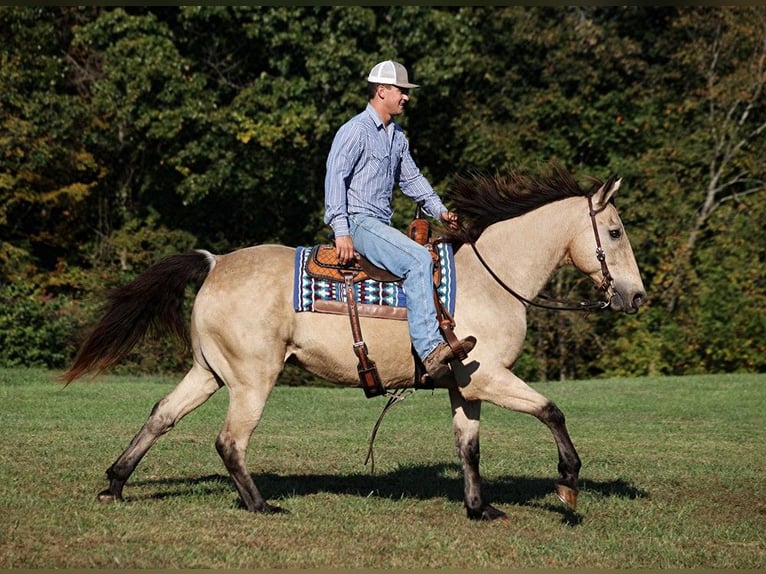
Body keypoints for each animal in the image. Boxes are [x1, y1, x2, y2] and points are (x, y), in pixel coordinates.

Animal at [63, 164, 648, 520]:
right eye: (615, 232)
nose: (637, 296)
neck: (491, 279)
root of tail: (216, 262)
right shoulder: (490, 377)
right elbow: (551, 411)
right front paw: (568, 483)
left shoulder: (464, 386)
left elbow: (469, 446)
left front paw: (479, 508)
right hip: (252, 380)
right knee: (230, 441)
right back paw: (260, 505)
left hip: (209, 372)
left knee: (163, 414)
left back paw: (115, 483)